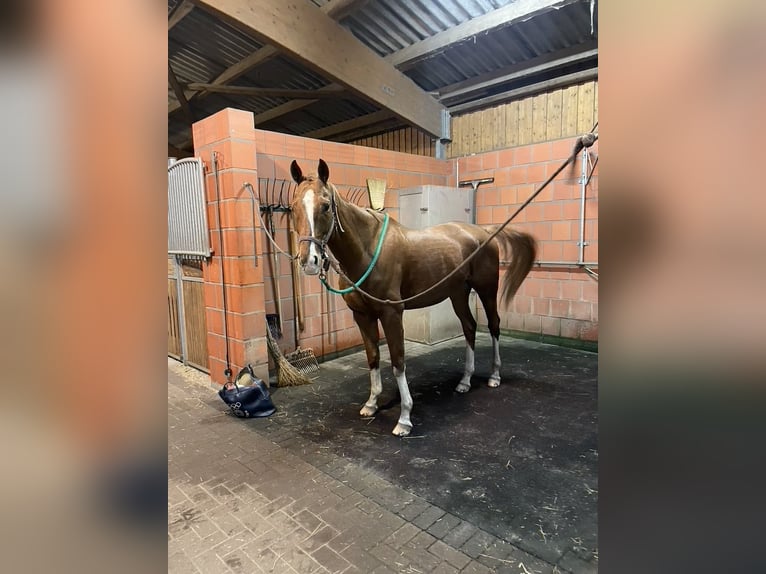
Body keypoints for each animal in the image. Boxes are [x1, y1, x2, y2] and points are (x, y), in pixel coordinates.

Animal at [289, 159, 536, 436]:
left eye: (325, 206)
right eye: (293, 207)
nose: (309, 261)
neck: (367, 251)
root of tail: (483, 232)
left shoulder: (391, 314)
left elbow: (398, 361)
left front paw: (405, 418)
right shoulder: (362, 316)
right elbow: (373, 357)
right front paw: (371, 404)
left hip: (486, 289)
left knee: (493, 325)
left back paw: (494, 376)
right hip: (457, 293)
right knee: (470, 327)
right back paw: (464, 381)